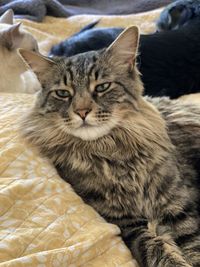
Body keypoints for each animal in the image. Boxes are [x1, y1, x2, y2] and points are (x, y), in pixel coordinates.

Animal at [18, 27, 200, 267]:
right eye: (63, 93)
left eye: (102, 87)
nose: (82, 111)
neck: (112, 150)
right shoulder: (127, 222)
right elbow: (158, 250)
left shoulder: (178, 207)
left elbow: (192, 245)